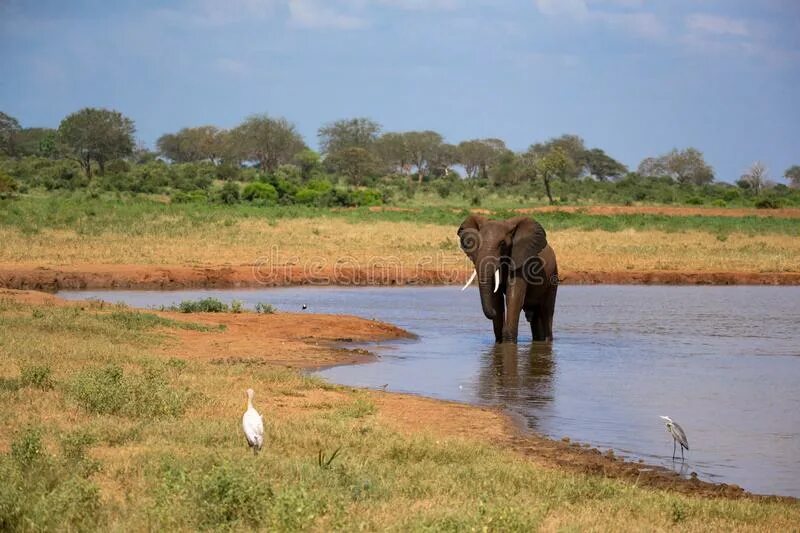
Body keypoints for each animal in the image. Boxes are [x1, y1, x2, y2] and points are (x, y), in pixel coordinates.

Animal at [460, 214, 560, 342]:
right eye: (477, 242)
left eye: (502, 244)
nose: (492, 313)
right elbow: (496, 298)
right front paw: (500, 340)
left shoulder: (522, 261)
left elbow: (514, 297)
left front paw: (508, 341)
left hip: (553, 276)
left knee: (547, 310)